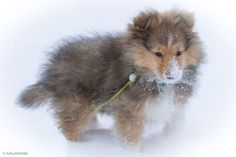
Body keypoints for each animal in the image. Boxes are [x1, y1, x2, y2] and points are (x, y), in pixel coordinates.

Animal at [17, 9, 204, 150]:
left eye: (179, 52)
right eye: (157, 53)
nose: (172, 75)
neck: (155, 81)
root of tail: (52, 69)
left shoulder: (176, 106)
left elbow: (175, 125)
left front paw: (172, 143)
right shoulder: (130, 113)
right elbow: (130, 138)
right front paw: (131, 151)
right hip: (76, 106)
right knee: (70, 128)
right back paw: (78, 147)